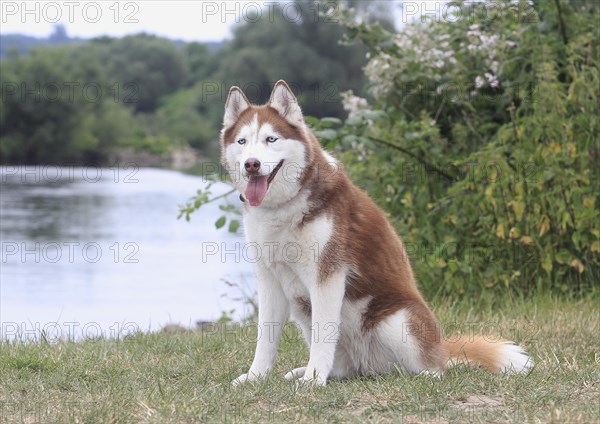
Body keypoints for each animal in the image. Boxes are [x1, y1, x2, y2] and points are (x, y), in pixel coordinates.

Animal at [221, 80, 536, 388]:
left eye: (271, 139)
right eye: (242, 142)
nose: (252, 164)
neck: (285, 206)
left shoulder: (327, 276)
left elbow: (324, 334)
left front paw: (313, 381)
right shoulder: (270, 278)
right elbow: (266, 336)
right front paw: (256, 377)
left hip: (395, 321)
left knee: (436, 368)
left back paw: (422, 375)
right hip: (304, 310)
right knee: (344, 365)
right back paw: (310, 371)